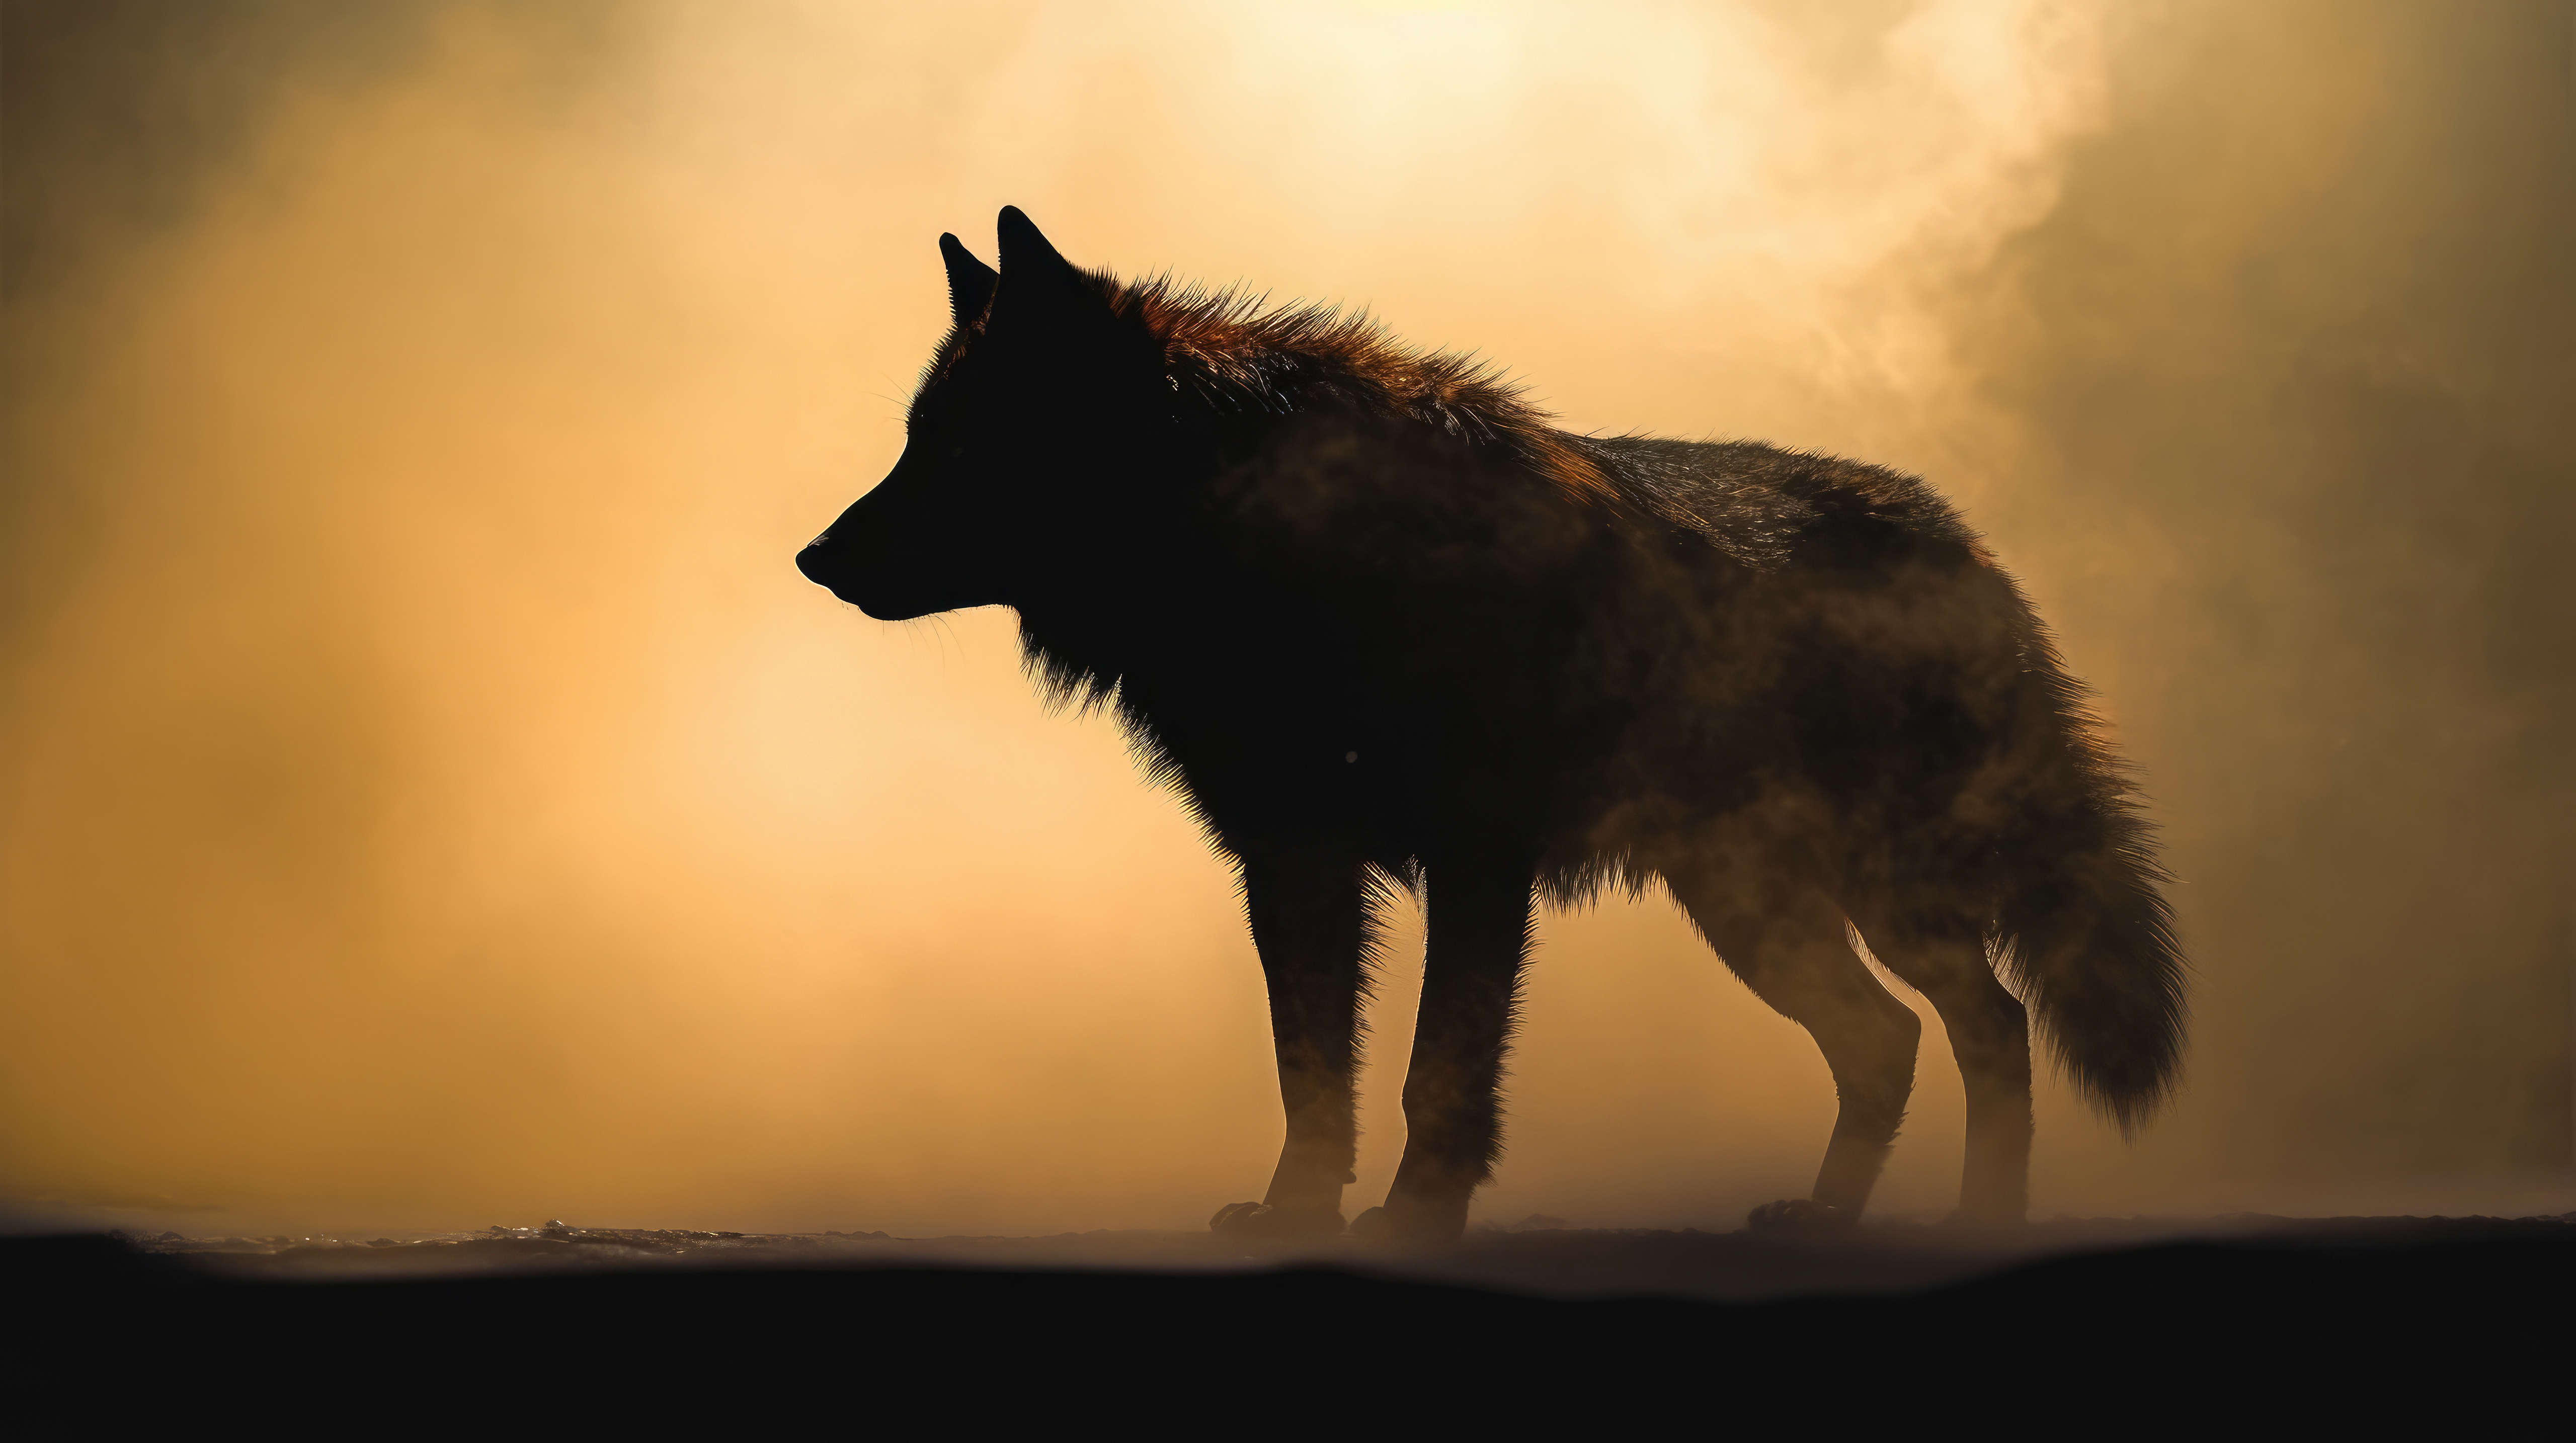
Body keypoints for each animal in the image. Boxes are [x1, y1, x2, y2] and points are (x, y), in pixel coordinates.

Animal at [795, 209, 2185, 1243]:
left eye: (957, 447)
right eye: (918, 440)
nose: (813, 558)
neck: (1284, 553)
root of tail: (1964, 544)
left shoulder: (1475, 857)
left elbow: (1438, 1069)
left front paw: (1417, 1215)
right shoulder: (1295, 860)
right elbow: (1311, 1067)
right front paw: (1298, 1211)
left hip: (1869, 889)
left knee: (1986, 1023)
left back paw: (1980, 1221)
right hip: (1754, 906)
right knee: (1891, 1037)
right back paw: (1826, 1216)